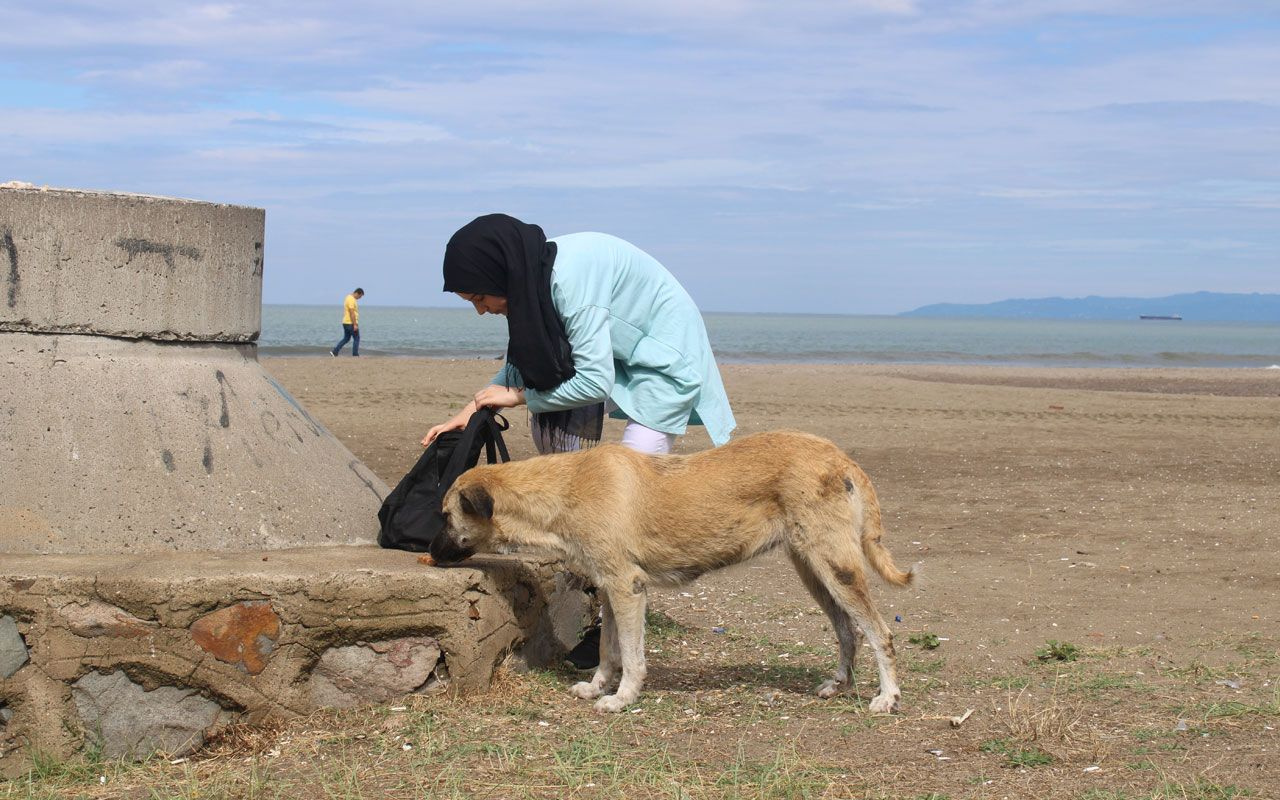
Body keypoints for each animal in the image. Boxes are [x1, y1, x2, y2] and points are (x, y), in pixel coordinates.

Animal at [435, 430, 916, 711]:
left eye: (444, 516)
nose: (429, 552)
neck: (565, 487)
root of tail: (841, 457)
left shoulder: (627, 587)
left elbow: (632, 656)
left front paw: (622, 699)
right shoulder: (610, 589)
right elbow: (609, 649)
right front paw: (598, 687)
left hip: (836, 567)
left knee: (880, 633)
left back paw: (886, 697)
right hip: (814, 571)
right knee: (848, 630)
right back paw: (838, 685)